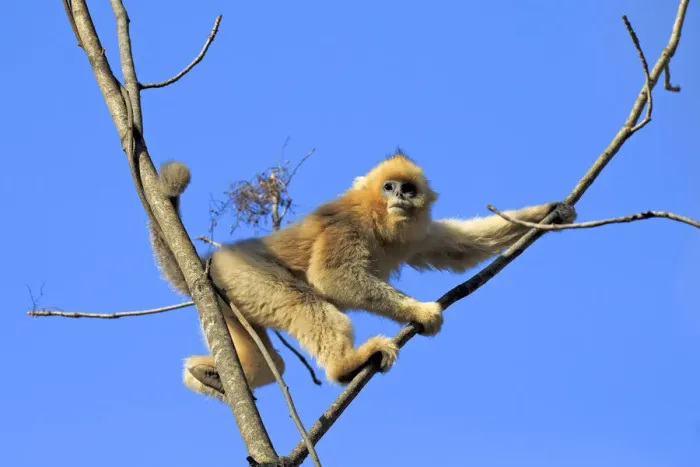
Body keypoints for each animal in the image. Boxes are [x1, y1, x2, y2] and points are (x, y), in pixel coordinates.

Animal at [150, 152, 576, 402]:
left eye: (408, 189)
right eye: (389, 186)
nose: (400, 197)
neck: (377, 220)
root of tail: (211, 257)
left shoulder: (415, 235)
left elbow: (461, 247)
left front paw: (550, 212)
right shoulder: (347, 226)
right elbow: (330, 279)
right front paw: (421, 312)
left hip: (225, 300)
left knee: (271, 360)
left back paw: (216, 375)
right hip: (244, 273)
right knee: (306, 305)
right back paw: (347, 365)